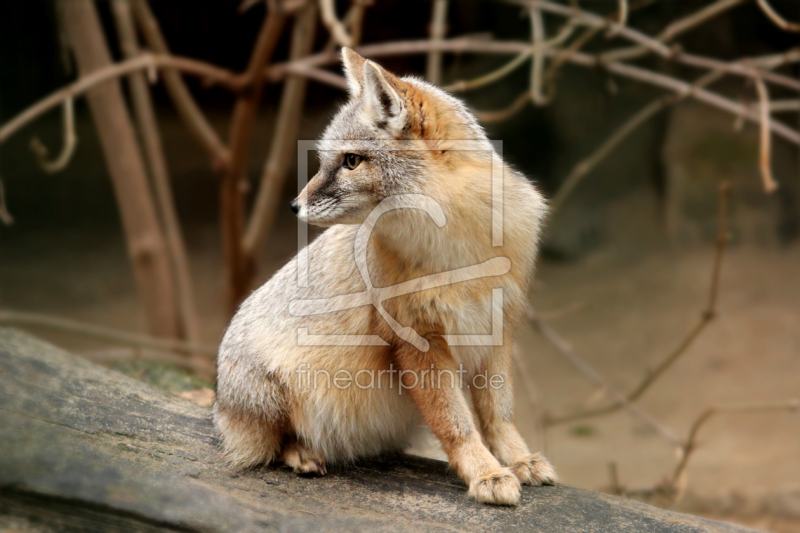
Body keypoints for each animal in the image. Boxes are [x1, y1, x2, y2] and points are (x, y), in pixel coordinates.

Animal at [212, 47, 556, 504]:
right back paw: (303, 452)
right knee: (270, 444)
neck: (457, 249)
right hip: (276, 390)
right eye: (326, 161)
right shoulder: (418, 340)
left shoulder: (496, 324)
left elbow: (498, 413)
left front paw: (517, 459)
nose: (293, 206)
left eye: (351, 161)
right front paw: (485, 472)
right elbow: (456, 422)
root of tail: (219, 403)